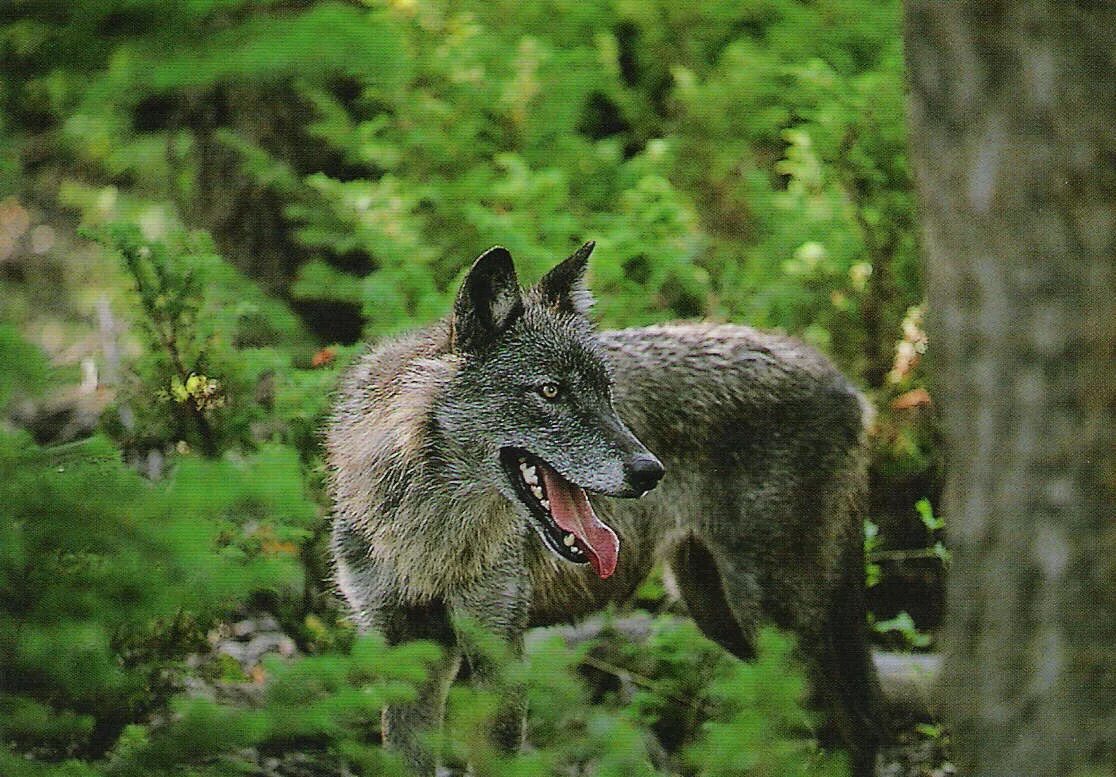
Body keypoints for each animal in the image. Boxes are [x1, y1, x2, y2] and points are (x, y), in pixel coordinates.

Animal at [325, 243, 883, 776]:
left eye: (606, 394)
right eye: (550, 390)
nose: (650, 471)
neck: (429, 530)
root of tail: (847, 385)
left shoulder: (499, 648)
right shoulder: (403, 652)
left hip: (770, 618)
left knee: (850, 729)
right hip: (718, 612)